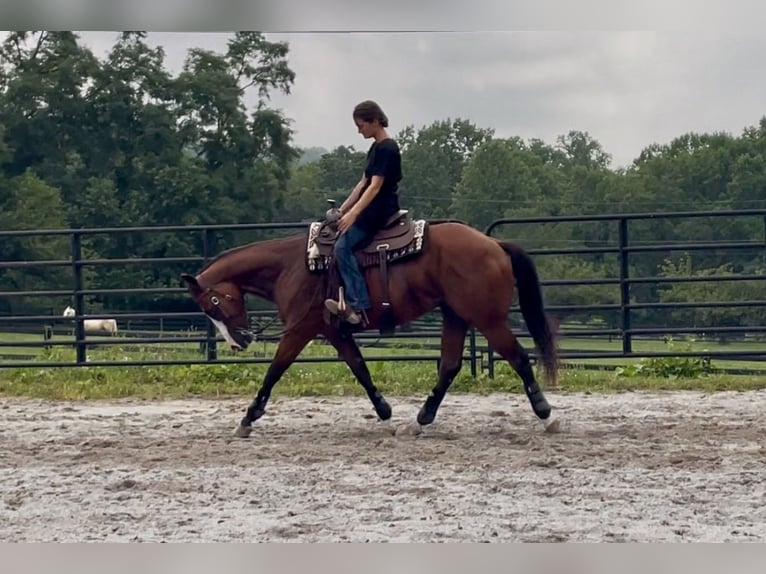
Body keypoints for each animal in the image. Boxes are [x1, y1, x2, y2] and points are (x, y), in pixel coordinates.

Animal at [181, 210, 560, 438]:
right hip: (455, 315)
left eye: (214, 303)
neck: (293, 266)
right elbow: (359, 368)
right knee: (450, 366)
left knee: (518, 357)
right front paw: (385, 411)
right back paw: (421, 419)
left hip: (487, 318)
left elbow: (275, 371)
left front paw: (247, 419)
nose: (239, 342)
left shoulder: (301, 330)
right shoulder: (333, 330)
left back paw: (546, 414)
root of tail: (493, 243)